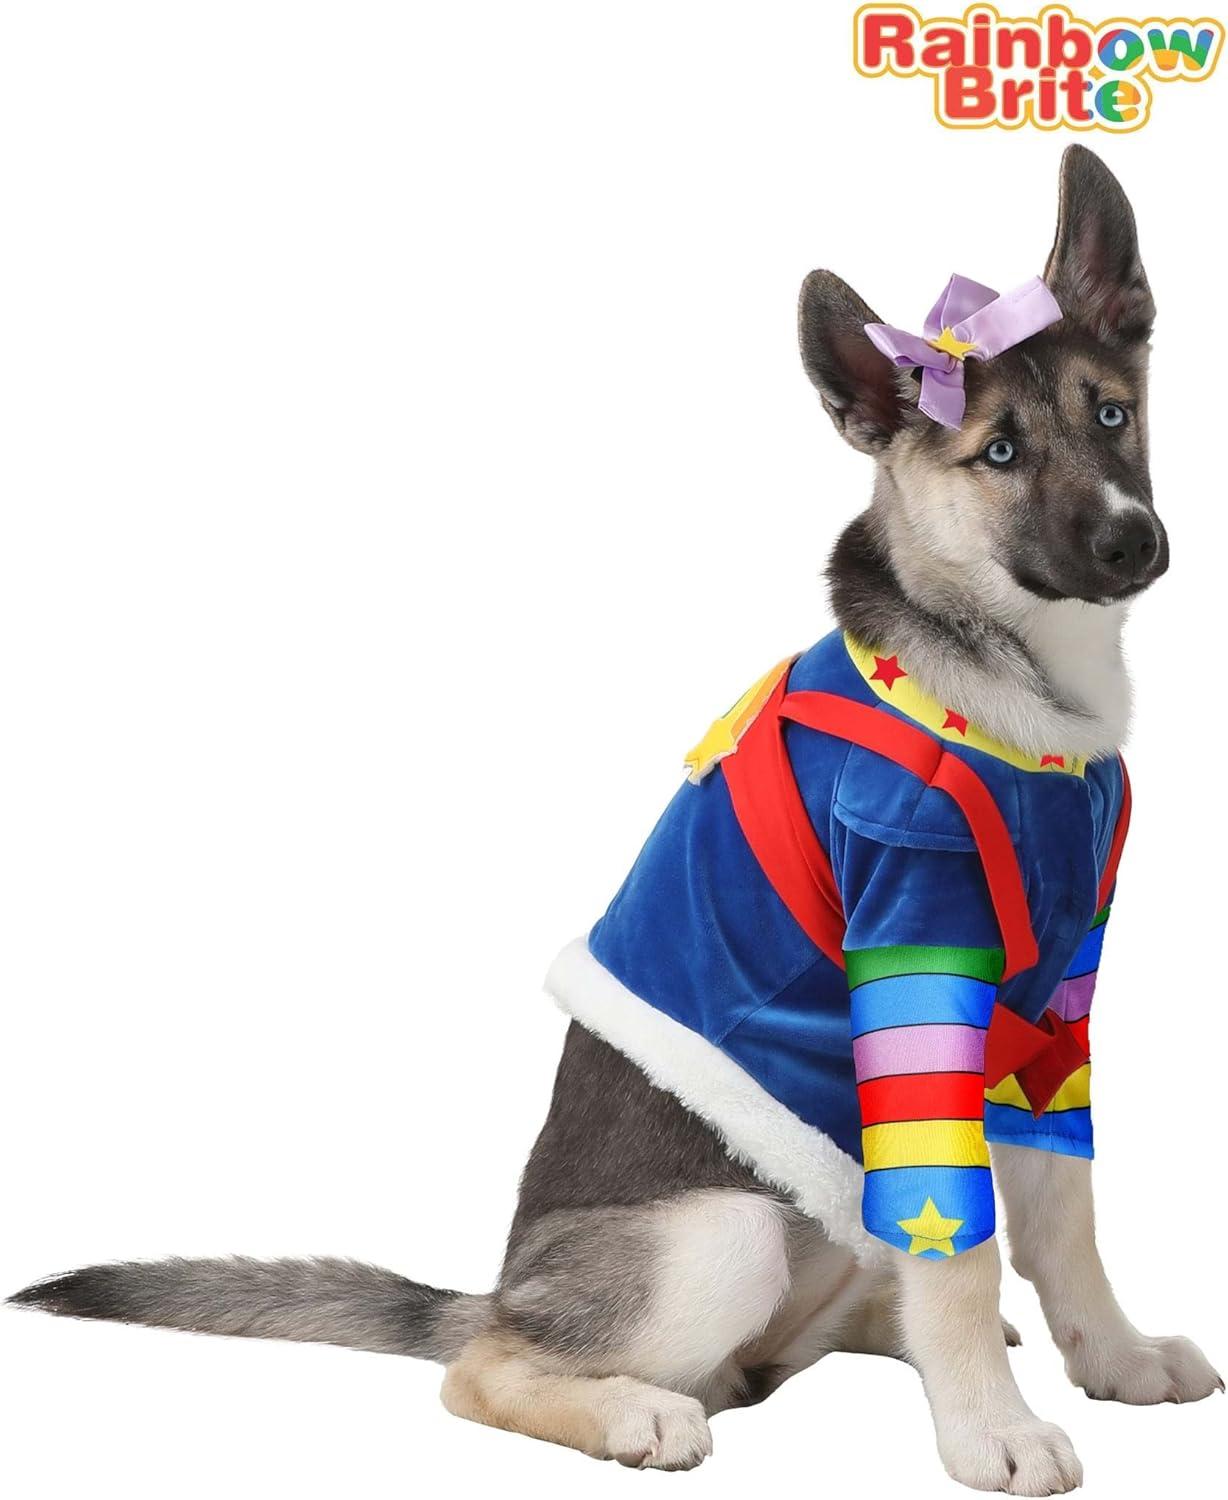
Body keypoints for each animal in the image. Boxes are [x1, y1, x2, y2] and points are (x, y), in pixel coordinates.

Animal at [11, 147, 1221, 1496]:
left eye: (1109, 413)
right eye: (998, 452)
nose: (1131, 541)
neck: (1021, 696)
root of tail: (503, 1285)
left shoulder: (1055, 1007)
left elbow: (1063, 1218)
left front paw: (1111, 1354)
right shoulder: (919, 987)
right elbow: (959, 1247)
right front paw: (989, 1431)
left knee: (814, 1319)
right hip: (726, 1232)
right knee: (485, 1367)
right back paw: (635, 1409)